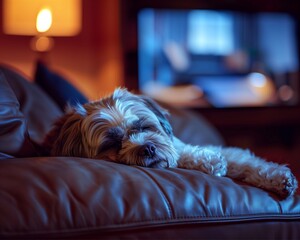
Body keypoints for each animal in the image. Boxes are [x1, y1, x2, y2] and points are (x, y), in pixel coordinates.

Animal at [44, 88, 298, 199]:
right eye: (113, 143)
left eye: (142, 127)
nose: (148, 147)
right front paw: (211, 163)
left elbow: (243, 160)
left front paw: (279, 178)